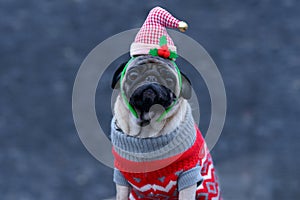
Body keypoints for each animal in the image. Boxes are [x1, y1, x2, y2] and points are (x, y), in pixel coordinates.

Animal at [110, 55, 220, 200]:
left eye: (169, 80)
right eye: (133, 75)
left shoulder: (189, 174)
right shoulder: (121, 176)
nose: (151, 78)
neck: (147, 130)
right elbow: (121, 195)